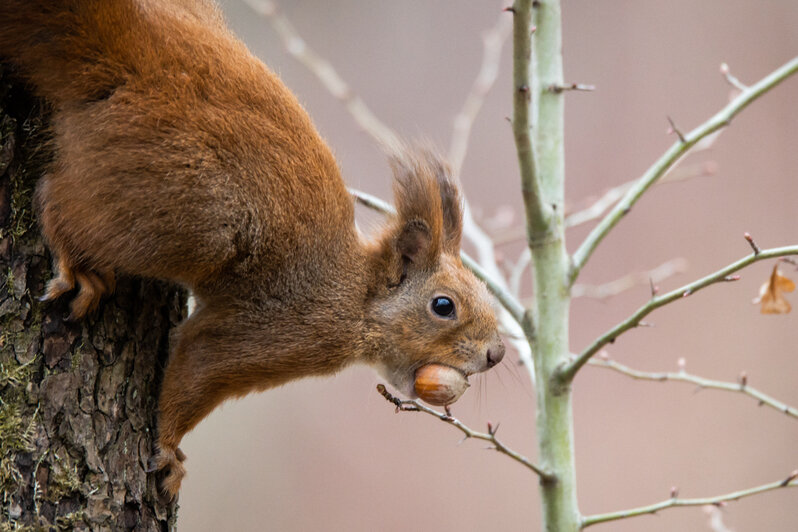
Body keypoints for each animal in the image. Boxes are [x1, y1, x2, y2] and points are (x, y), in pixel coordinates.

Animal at [0, 0, 504, 494]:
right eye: (443, 306)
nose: (496, 354)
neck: (356, 296)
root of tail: (133, 53)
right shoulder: (277, 329)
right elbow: (197, 368)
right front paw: (169, 449)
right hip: (184, 211)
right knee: (55, 196)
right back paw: (74, 259)